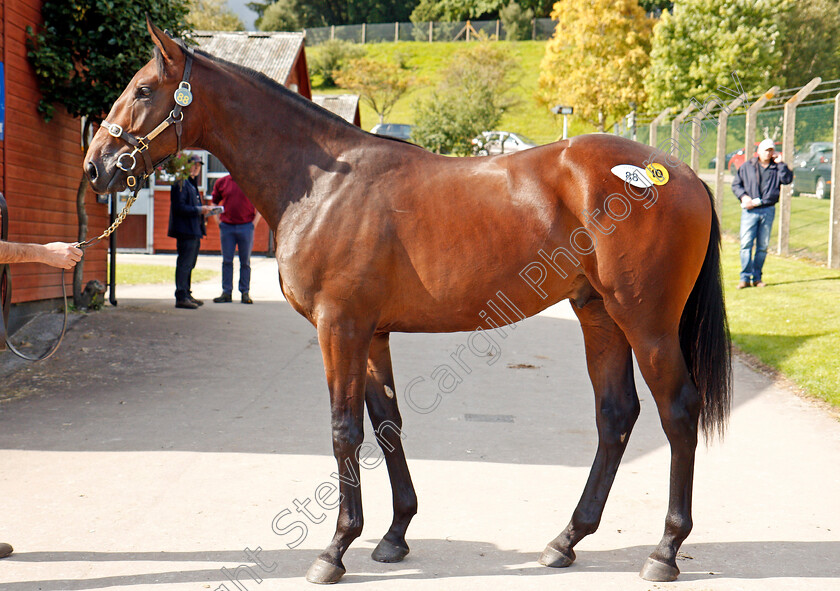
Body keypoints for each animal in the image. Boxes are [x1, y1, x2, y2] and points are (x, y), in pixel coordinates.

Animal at [82, 19, 732, 588]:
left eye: (143, 90)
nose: (95, 167)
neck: (323, 184)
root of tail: (680, 172)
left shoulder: (339, 328)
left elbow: (344, 429)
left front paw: (335, 550)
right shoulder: (371, 334)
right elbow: (387, 424)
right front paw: (393, 536)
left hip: (646, 321)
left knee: (678, 410)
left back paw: (665, 551)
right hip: (598, 314)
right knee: (616, 414)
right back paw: (566, 539)